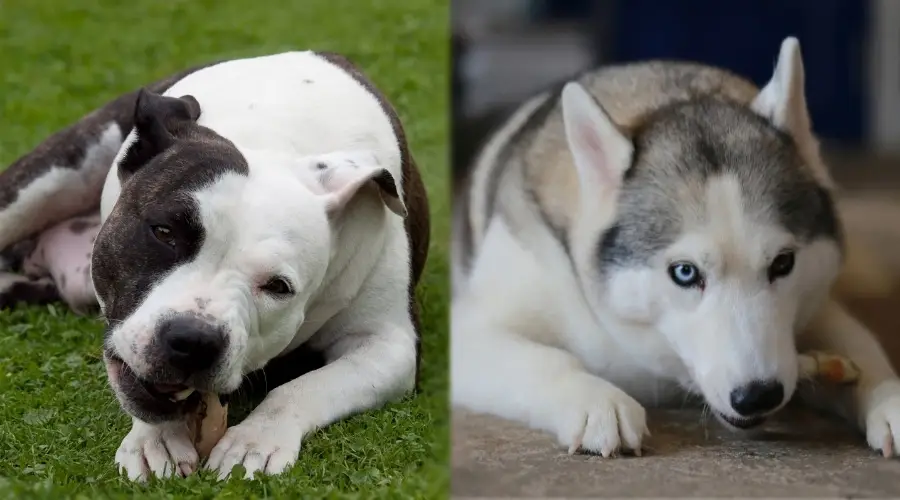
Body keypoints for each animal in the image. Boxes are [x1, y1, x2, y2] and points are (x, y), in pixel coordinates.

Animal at [454, 37, 900, 458]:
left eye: (783, 263)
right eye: (685, 273)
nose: (758, 395)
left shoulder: (817, 304)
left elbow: (862, 343)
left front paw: (887, 396)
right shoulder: (478, 324)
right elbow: (547, 358)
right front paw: (595, 399)